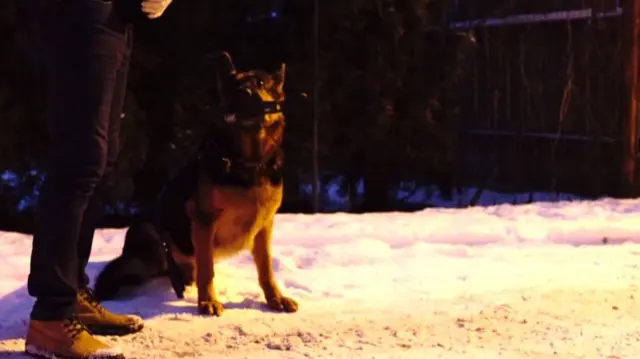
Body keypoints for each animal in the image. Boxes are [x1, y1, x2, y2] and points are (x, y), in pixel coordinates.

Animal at [94, 52, 298, 318]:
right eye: (232, 85)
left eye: (260, 83)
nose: (242, 94)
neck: (247, 163)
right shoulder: (203, 221)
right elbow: (207, 268)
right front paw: (208, 301)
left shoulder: (264, 226)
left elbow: (266, 269)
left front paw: (275, 299)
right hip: (148, 234)